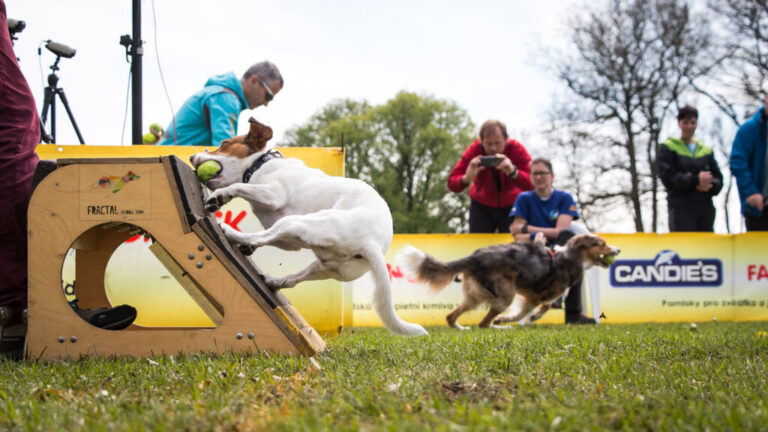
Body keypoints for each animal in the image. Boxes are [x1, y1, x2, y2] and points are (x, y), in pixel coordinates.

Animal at [190, 117, 428, 338]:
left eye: (224, 143)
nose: (192, 157)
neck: (261, 163)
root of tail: (372, 242)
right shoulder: (290, 241)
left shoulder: (272, 194)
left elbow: (240, 187)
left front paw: (220, 196)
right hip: (328, 268)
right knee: (292, 278)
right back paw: (273, 280)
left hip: (299, 223)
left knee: (262, 237)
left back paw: (230, 232)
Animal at [396, 235, 616, 330]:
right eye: (602, 244)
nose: (618, 250)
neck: (570, 257)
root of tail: (475, 257)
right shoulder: (538, 296)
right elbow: (535, 309)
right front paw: (529, 317)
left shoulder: (533, 296)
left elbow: (529, 310)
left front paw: (512, 319)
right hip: (505, 294)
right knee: (483, 323)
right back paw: (499, 327)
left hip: (474, 297)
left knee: (451, 316)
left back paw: (462, 327)